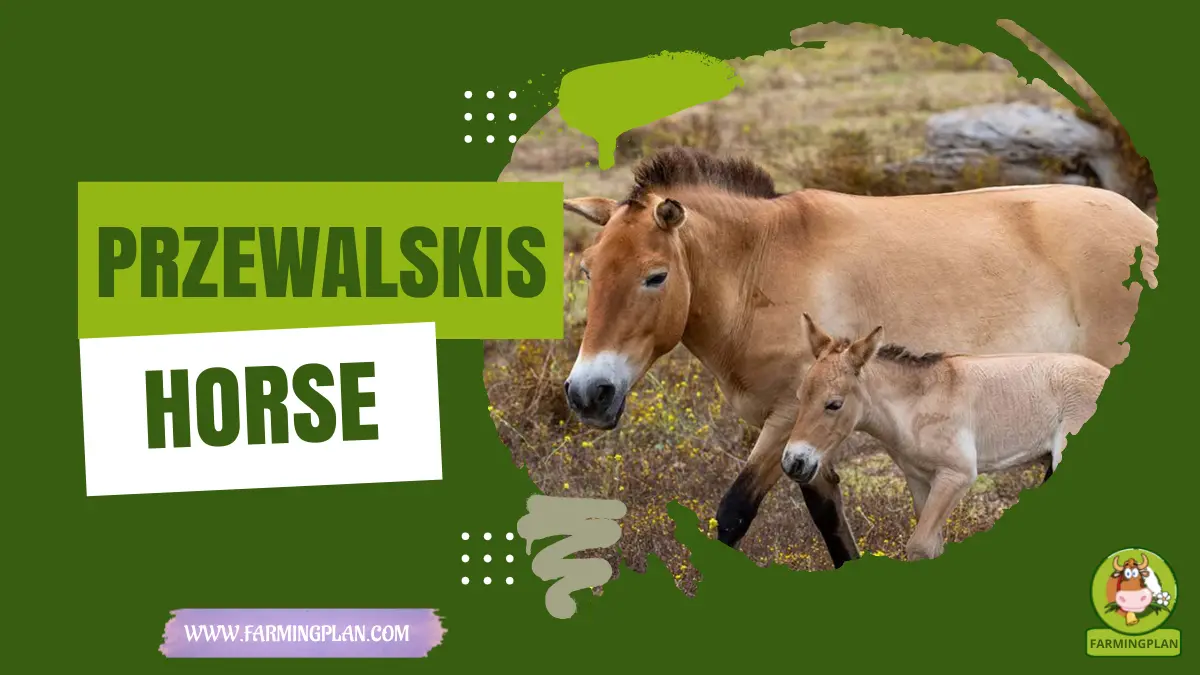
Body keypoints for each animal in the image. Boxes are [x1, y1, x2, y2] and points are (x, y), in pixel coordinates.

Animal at [781, 314, 1109, 560]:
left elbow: (919, 545)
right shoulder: (919, 480)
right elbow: (931, 545)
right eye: (799, 396)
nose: (793, 462)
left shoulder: (956, 475)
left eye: (834, 404)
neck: (917, 404)